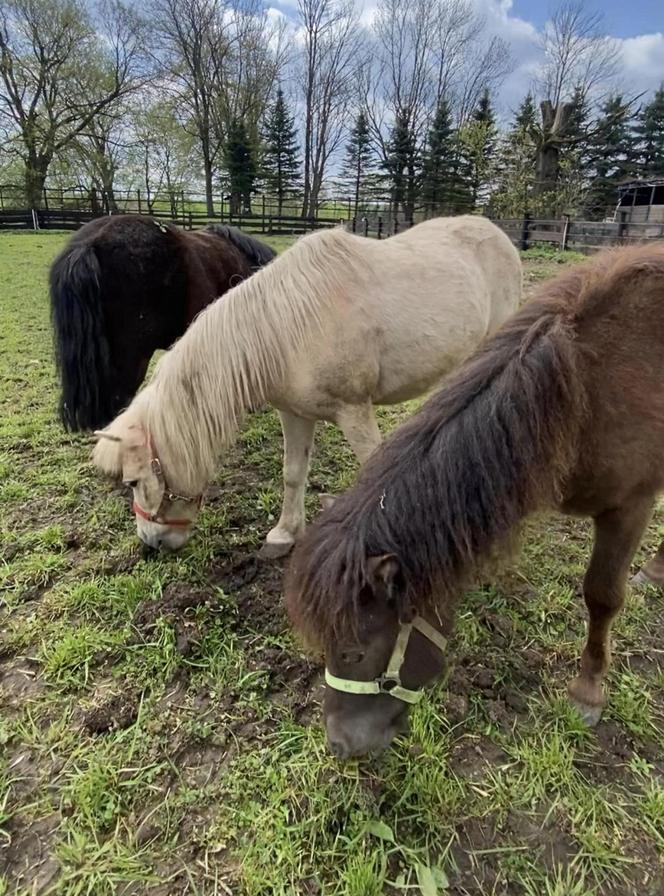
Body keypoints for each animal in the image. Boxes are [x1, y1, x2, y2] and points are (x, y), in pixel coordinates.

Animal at [91, 215, 520, 552]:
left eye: (133, 481)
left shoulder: (355, 412)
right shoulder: (294, 413)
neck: (288, 330)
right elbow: (293, 472)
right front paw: (285, 534)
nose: (151, 543)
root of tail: (498, 234)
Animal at [286, 240, 664, 756]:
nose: (340, 744)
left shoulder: (630, 507)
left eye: (354, 652)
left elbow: (602, 596)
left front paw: (587, 690)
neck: (585, 391)